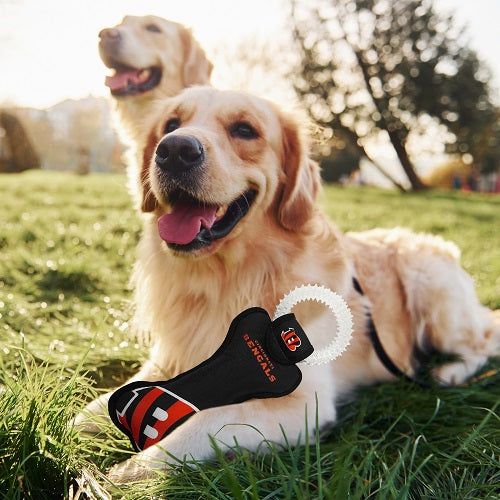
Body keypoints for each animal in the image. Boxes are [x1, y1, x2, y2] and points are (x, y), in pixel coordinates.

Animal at [75, 86, 500, 480]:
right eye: (171, 125)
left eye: (244, 129)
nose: (174, 150)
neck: (228, 278)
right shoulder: (171, 356)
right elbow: (108, 401)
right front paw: (69, 429)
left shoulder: (300, 403)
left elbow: (198, 425)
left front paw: (122, 473)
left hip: (432, 290)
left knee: (483, 343)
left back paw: (449, 372)